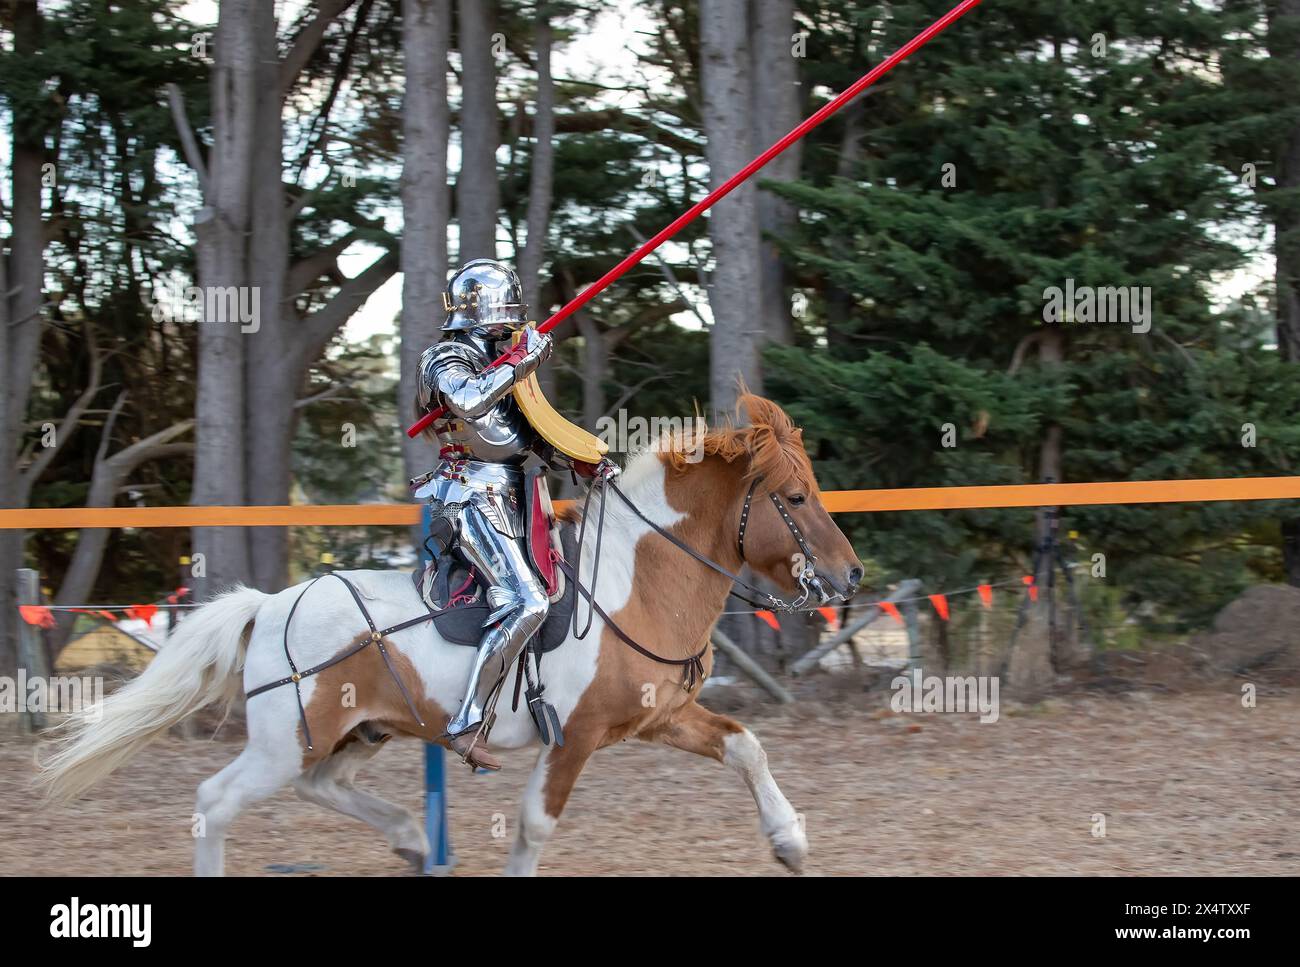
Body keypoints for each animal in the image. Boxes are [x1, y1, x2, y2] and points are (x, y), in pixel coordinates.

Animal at [39, 393, 863, 876]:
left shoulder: (660, 717)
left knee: (322, 786)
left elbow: (745, 745)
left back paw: (411, 838)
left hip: (356, 732)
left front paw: (790, 840)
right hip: (282, 743)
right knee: (216, 800)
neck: (635, 583)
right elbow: (534, 825)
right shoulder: (575, 737)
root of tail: (270, 607)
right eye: (795, 497)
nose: (850, 575)